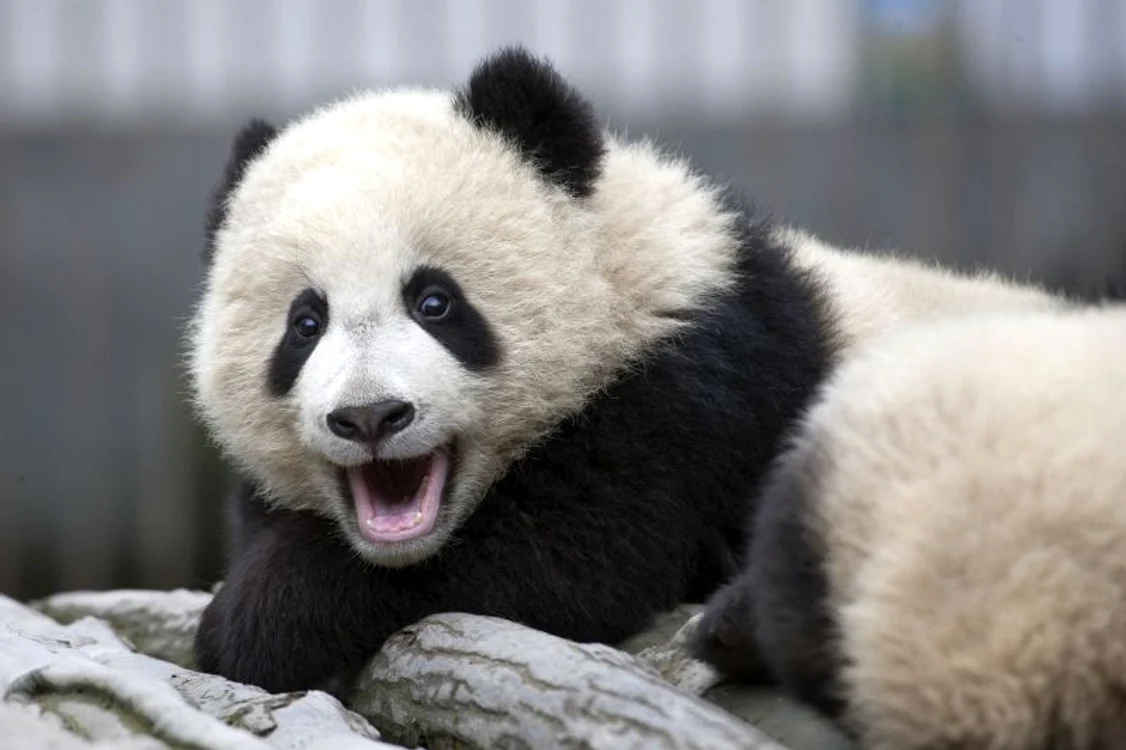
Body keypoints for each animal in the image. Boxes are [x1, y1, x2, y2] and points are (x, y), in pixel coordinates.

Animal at [188, 45, 1066, 696]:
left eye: (435, 301)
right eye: (305, 324)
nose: (371, 417)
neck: (624, 279)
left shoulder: (697, 384)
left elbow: (569, 555)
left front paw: (254, 622)